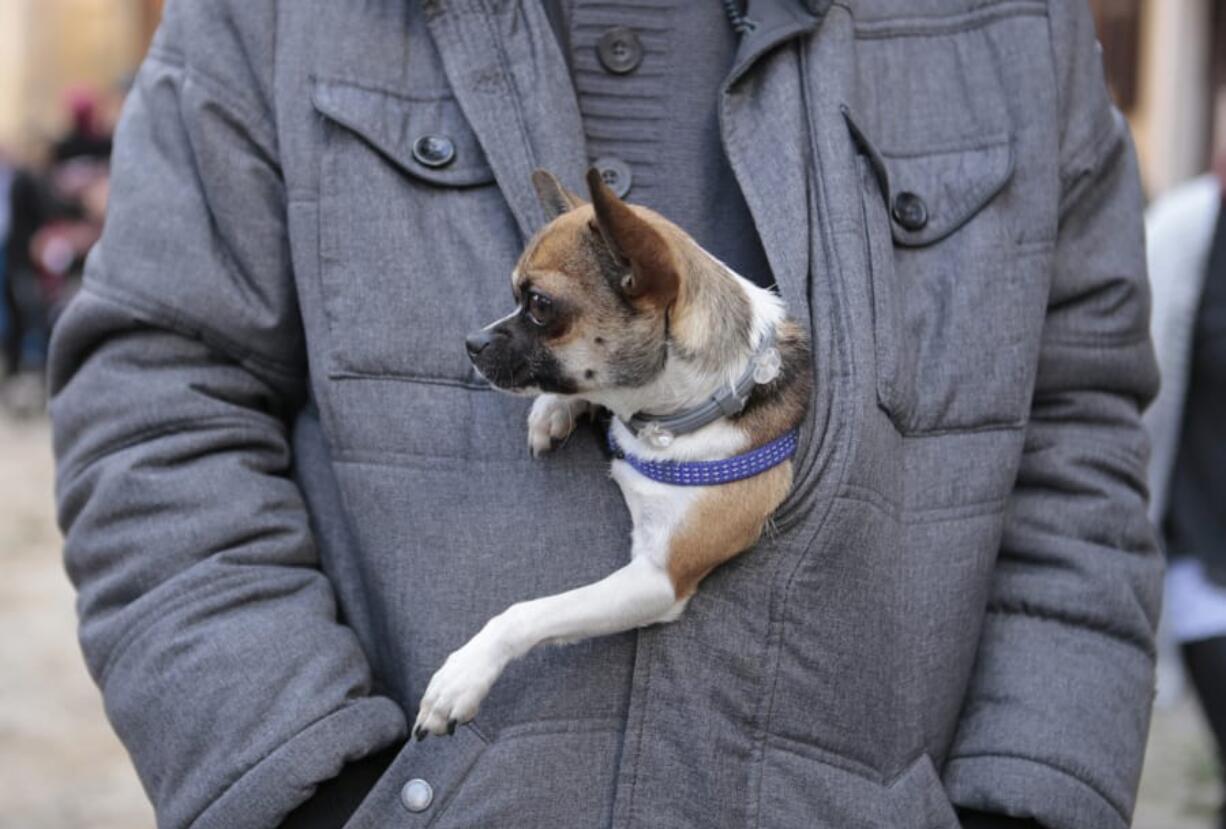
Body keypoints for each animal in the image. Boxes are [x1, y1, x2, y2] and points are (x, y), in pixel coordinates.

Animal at [414, 168, 814, 740]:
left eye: (539, 305)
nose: (471, 342)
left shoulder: (656, 578)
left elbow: (529, 612)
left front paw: (466, 673)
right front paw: (556, 407)